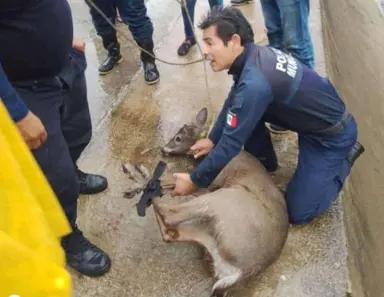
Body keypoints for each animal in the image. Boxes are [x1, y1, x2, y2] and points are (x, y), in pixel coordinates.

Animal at [122, 108, 288, 296]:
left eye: (178, 138)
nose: (163, 148)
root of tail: (241, 272)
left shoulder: (211, 182)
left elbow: (172, 180)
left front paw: (136, 184)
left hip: (226, 199)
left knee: (170, 216)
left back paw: (134, 172)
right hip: (210, 231)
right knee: (170, 232)